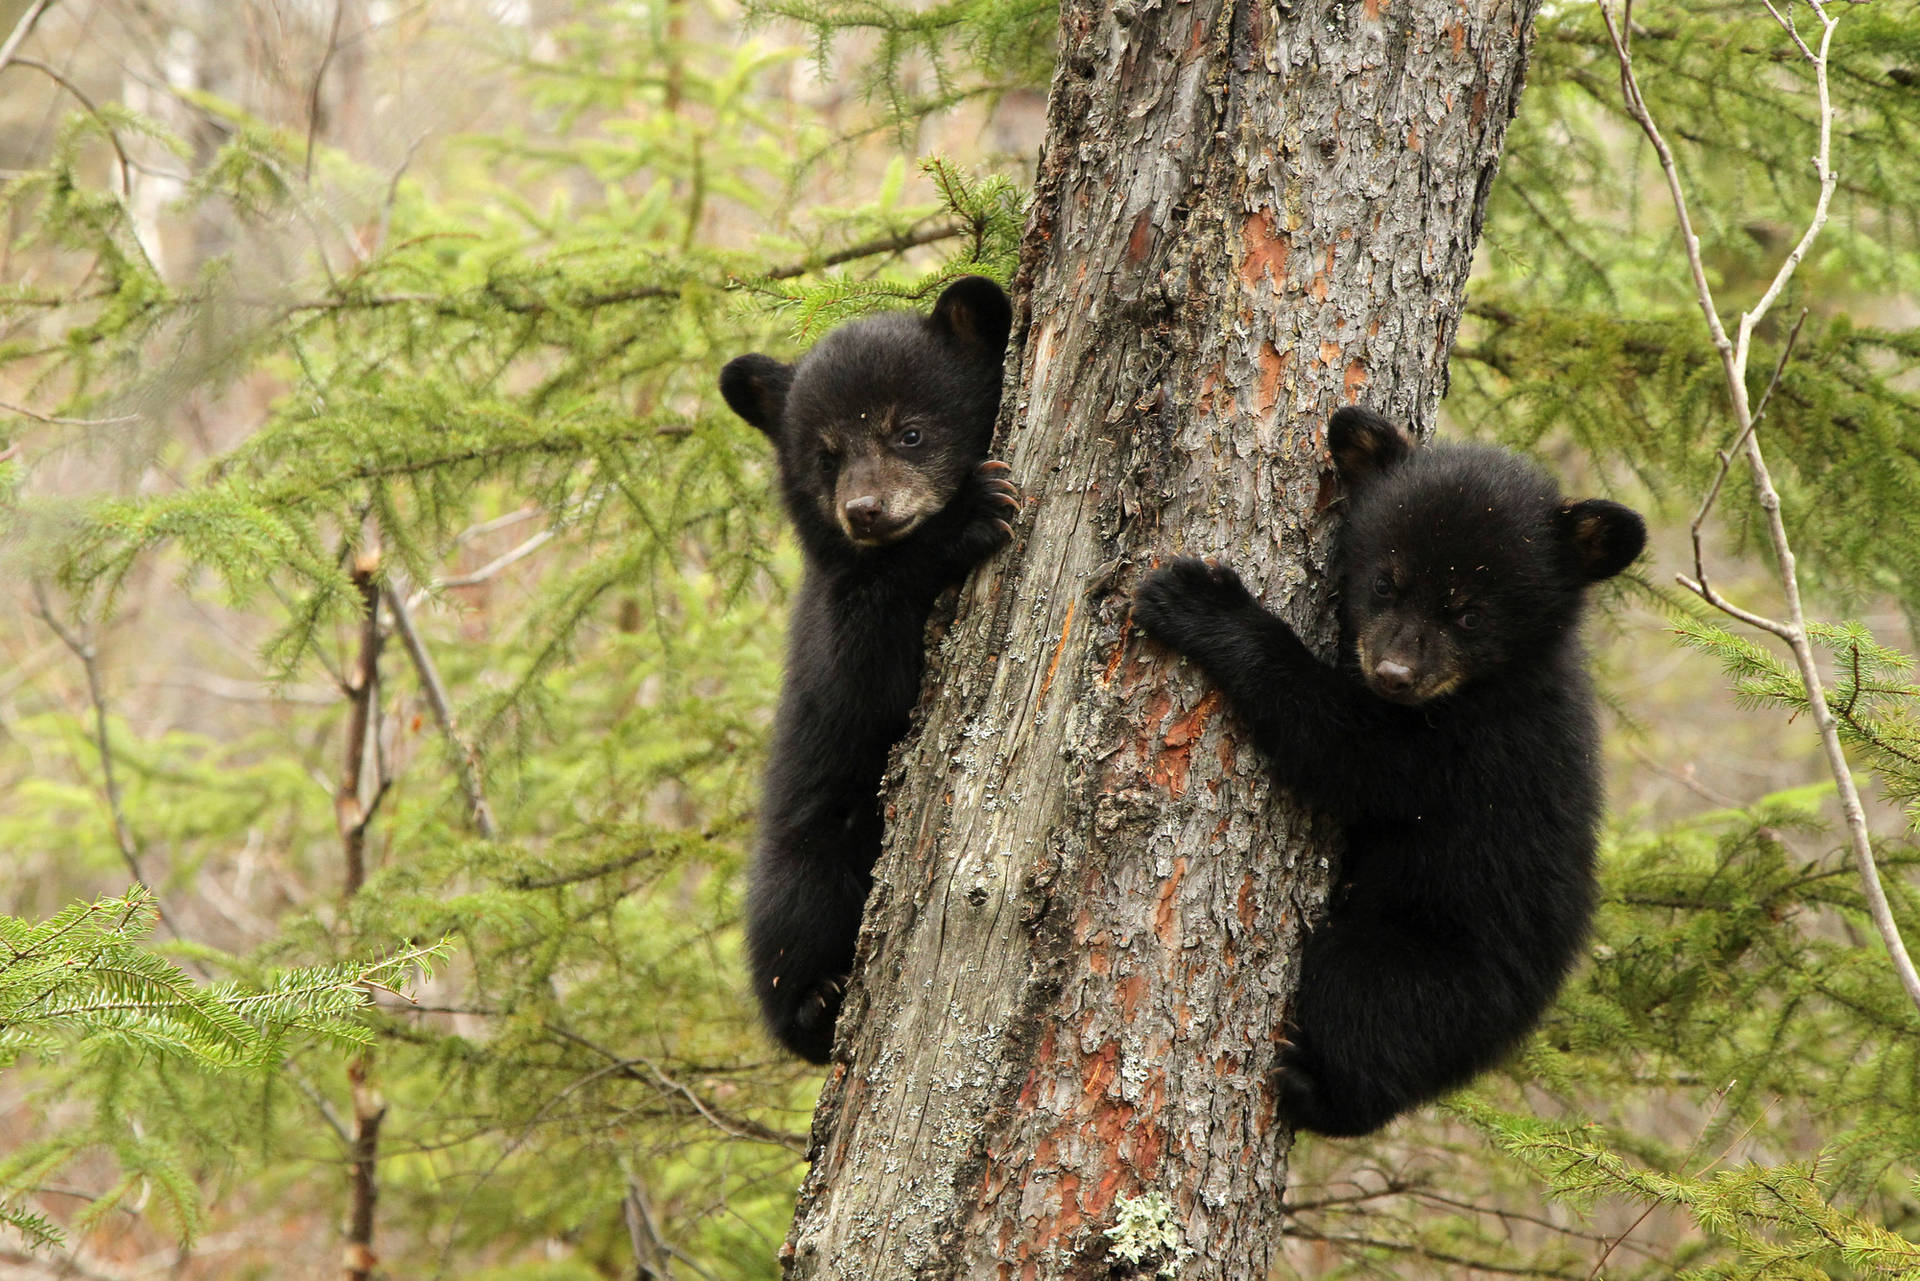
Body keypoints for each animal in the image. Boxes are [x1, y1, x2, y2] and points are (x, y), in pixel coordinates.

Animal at [718, 276, 1019, 1064]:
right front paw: (968, 515)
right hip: (809, 846)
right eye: (825, 456)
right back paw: (814, 1004)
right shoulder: (833, 611)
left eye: (908, 432)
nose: (865, 511)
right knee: (792, 916)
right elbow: (866, 678)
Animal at [1130, 406, 1645, 1137]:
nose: (1395, 674)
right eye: (1385, 582)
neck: (1489, 683)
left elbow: (1344, 748)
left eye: (1470, 612)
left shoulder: (1468, 747)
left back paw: (1313, 1090)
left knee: (1367, 1017)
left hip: (1421, 961)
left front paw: (1201, 602)